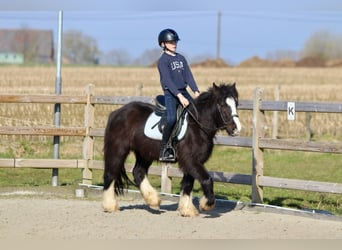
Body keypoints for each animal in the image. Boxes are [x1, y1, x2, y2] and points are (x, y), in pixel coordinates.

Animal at [101, 82, 240, 217]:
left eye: (236, 104)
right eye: (222, 104)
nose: (236, 129)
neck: (196, 126)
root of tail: (116, 112)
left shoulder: (193, 162)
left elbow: (188, 184)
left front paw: (187, 210)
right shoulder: (190, 160)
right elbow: (207, 179)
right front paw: (206, 204)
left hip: (144, 153)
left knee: (138, 172)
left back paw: (153, 200)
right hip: (118, 150)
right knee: (110, 174)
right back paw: (110, 205)